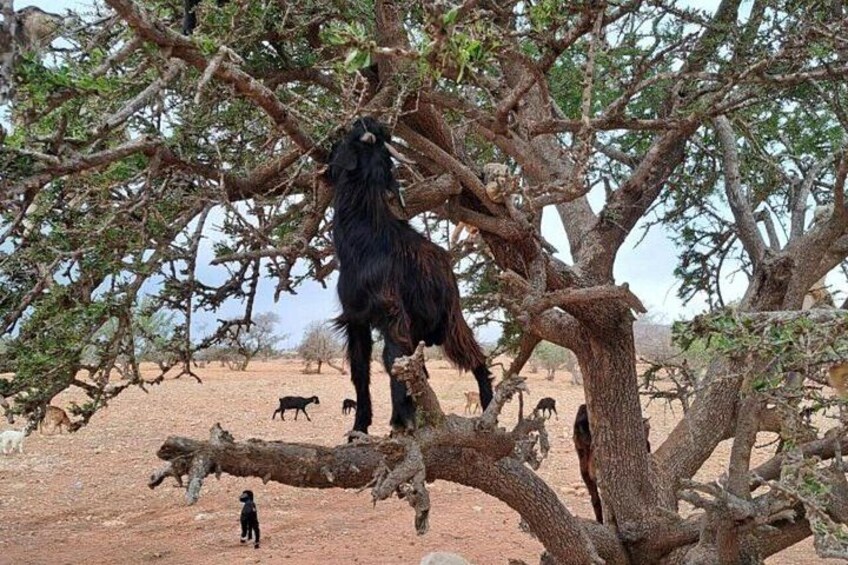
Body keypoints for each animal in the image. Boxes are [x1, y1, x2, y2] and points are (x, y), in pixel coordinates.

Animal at [327, 117, 493, 434]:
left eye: (351, 138)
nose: (361, 120)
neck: (364, 241)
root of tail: (445, 261)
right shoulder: (356, 318)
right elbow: (361, 371)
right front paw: (360, 427)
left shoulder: (392, 313)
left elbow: (392, 358)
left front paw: (402, 419)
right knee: (423, 369)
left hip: (450, 321)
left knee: (476, 356)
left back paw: (490, 405)